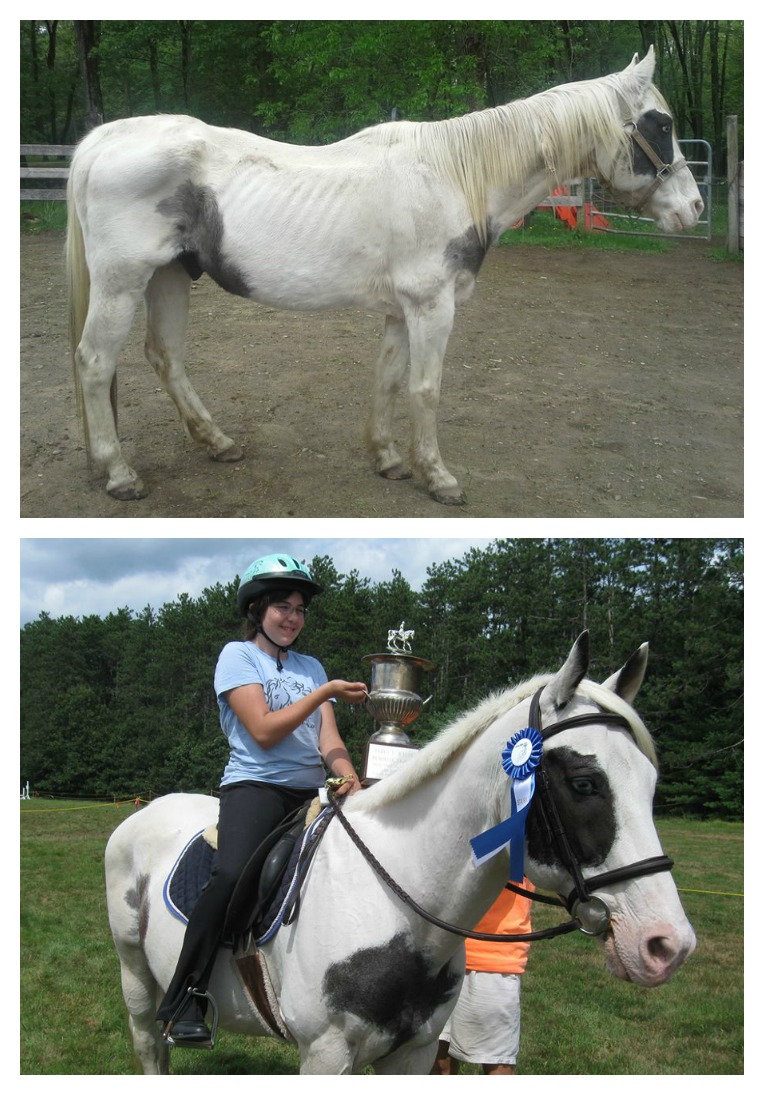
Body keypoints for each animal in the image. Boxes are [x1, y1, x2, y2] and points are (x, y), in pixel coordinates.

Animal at [68, 42, 700, 503]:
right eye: (660, 124)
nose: (693, 209)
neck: (452, 177)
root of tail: (104, 139)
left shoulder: (402, 311)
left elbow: (389, 380)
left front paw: (389, 459)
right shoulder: (432, 306)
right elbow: (425, 388)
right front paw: (438, 478)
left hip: (170, 277)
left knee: (166, 358)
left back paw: (218, 443)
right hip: (123, 282)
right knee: (95, 363)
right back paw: (120, 473)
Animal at [103, 639, 691, 1073]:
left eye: (651, 783)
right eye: (585, 783)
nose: (668, 945)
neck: (399, 910)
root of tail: (145, 812)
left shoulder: (414, 1053)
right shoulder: (325, 1055)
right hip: (137, 981)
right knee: (151, 1047)